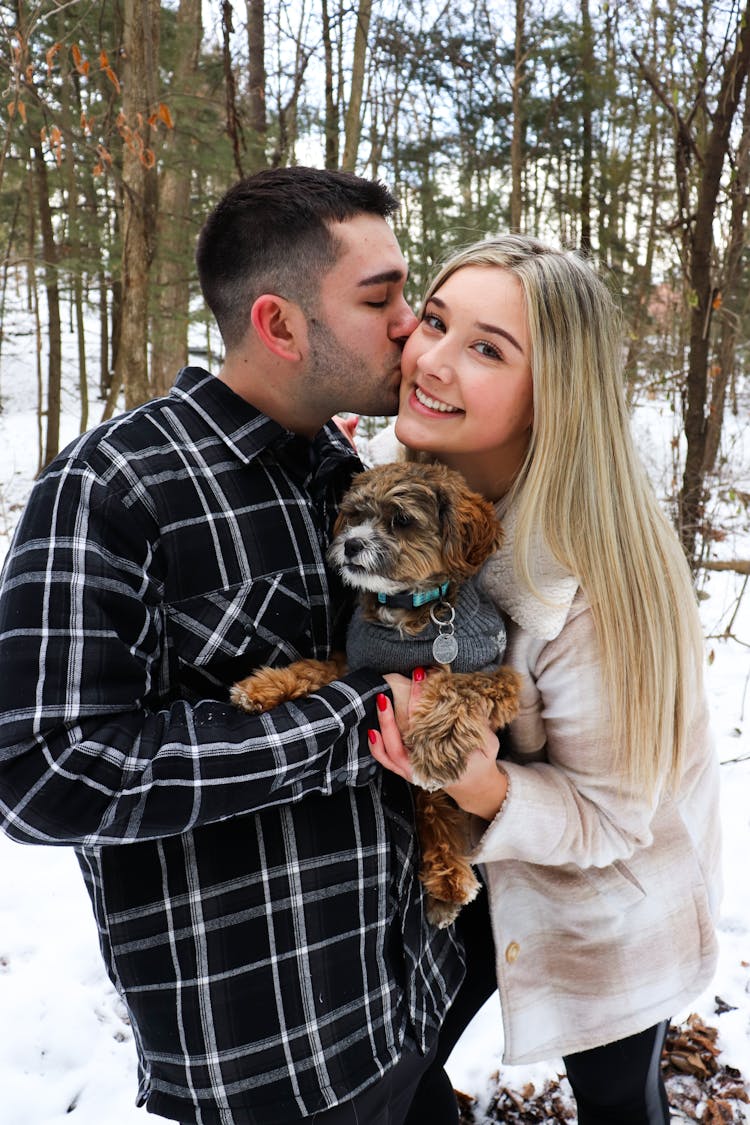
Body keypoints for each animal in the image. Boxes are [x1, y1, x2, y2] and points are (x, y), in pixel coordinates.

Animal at [231, 461, 519, 927]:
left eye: (400, 520)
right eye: (355, 515)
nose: (350, 544)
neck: (409, 610)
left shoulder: (496, 678)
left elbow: (454, 688)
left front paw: (437, 745)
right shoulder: (354, 664)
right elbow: (313, 669)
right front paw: (262, 687)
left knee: (435, 806)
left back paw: (449, 881)